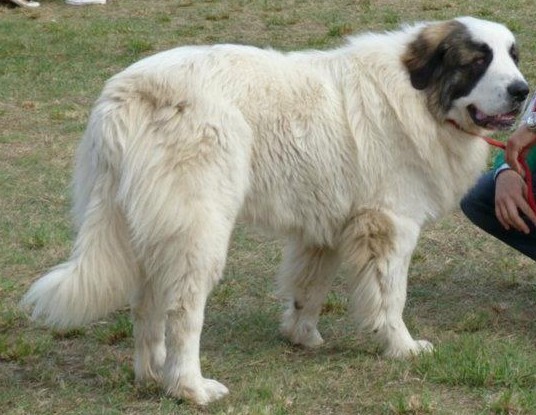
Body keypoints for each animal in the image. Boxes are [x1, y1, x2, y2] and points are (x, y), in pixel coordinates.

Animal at [22, 17, 528, 406]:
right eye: (477, 60)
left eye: (514, 56)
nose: (523, 90)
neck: (418, 96)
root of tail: (129, 93)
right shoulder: (389, 225)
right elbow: (390, 297)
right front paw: (401, 347)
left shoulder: (327, 228)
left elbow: (310, 286)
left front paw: (301, 335)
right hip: (198, 232)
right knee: (182, 313)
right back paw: (190, 388)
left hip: (147, 227)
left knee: (147, 304)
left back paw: (152, 375)